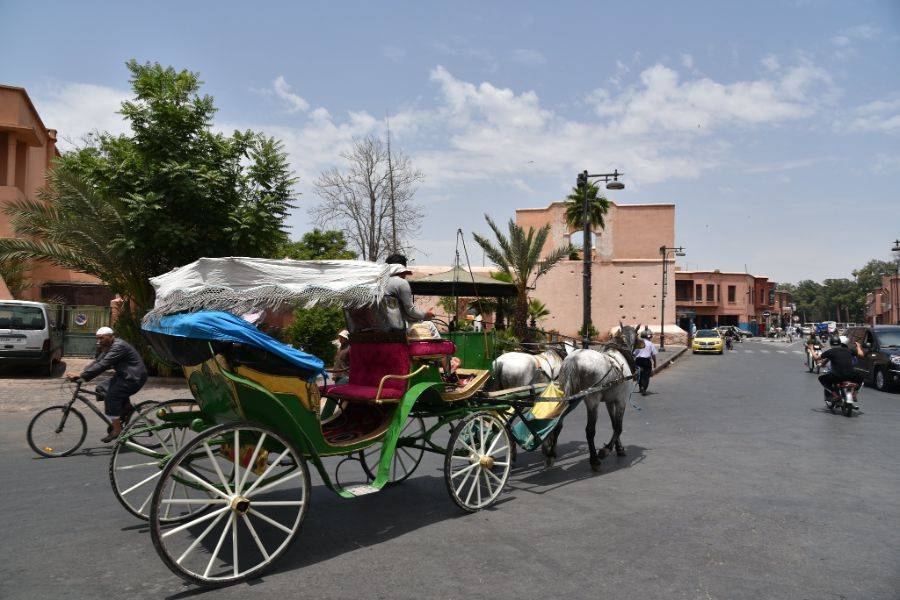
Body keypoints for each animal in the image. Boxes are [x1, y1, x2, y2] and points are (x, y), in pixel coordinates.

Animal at [542, 323, 640, 471]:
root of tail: (573, 359)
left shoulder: (610, 402)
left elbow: (613, 424)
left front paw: (619, 448)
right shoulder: (621, 401)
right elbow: (618, 427)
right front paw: (606, 450)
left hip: (566, 394)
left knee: (559, 423)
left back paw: (551, 455)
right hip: (592, 400)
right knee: (590, 430)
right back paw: (594, 460)